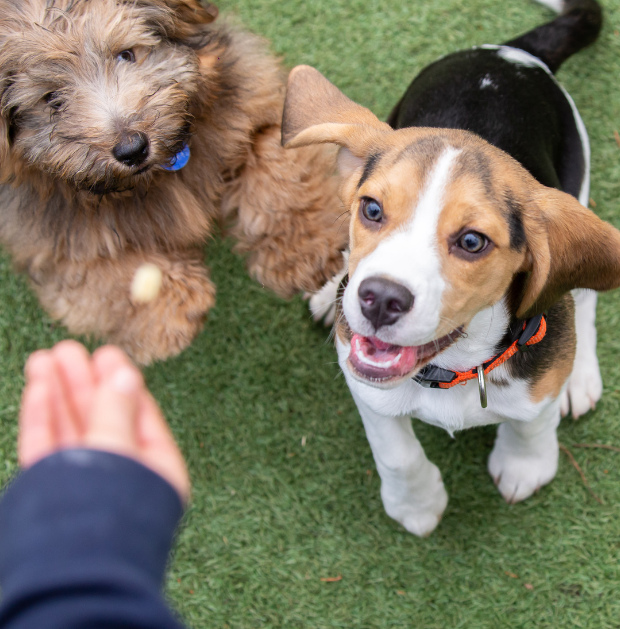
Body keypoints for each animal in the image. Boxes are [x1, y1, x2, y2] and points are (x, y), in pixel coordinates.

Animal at [0, 0, 346, 364]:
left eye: (126, 54)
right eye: (51, 99)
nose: (132, 148)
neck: (158, 173)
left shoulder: (253, 112)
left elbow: (279, 177)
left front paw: (307, 250)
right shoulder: (50, 230)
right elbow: (100, 270)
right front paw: (170, 310)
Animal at [284, 0, 616, 536]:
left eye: (472, 242)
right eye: (371, 209)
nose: (379, 299)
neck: (453, 365)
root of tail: (510, 53)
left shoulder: (538, 381)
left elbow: (534, 418)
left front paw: (525, 465)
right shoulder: (366, 385)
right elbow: (397, 453)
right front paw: (415, 505)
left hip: (579, 182)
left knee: (585, 294)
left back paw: (582, 376)